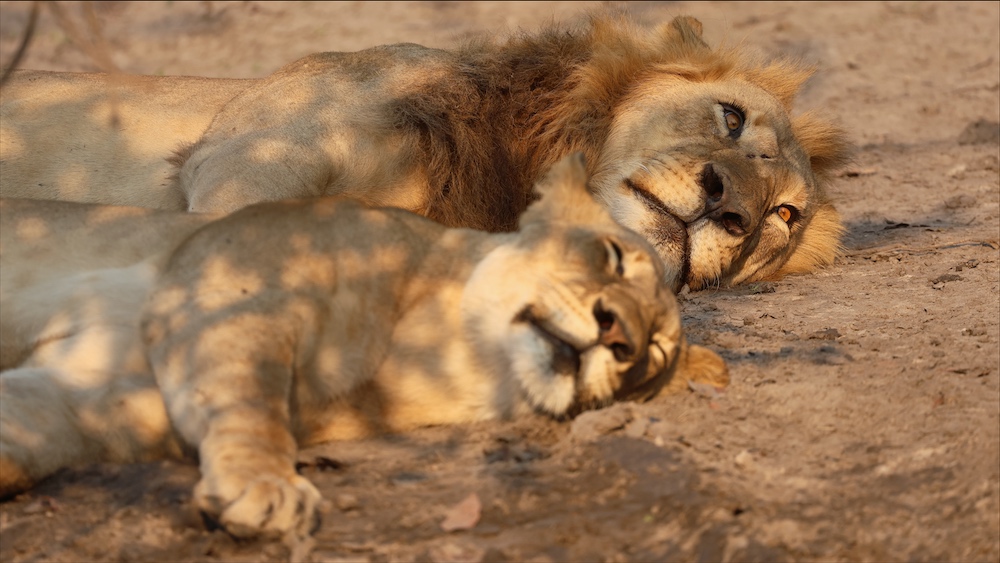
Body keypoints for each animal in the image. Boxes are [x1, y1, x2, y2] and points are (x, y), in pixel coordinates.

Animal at [0, 155, 727, 539]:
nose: (621, 336)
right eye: (612, 256)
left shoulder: (81, 396)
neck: (444, 361)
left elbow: (27, 427)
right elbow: (253, 398)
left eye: (654, 355)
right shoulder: (225, 279)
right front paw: (266, 486)